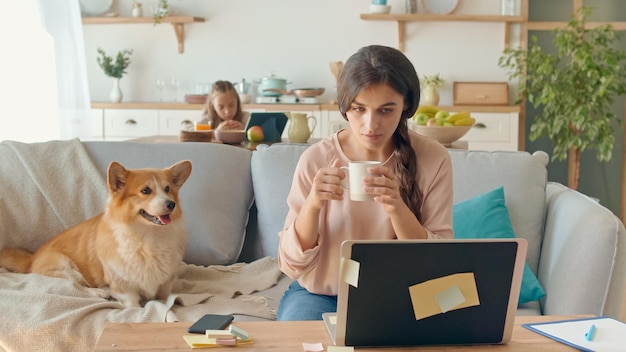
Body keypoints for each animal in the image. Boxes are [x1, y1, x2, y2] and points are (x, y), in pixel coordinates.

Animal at [0, 161, 191, 306]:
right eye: (146, 191)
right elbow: (133, 306)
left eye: (168, 189)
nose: (171, 204)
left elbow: (165, 297)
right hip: (64, 266)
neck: (149, 237)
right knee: (77, 287)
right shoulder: (124, 287)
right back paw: (101, 293)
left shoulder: (165, 283)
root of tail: (32, 259)